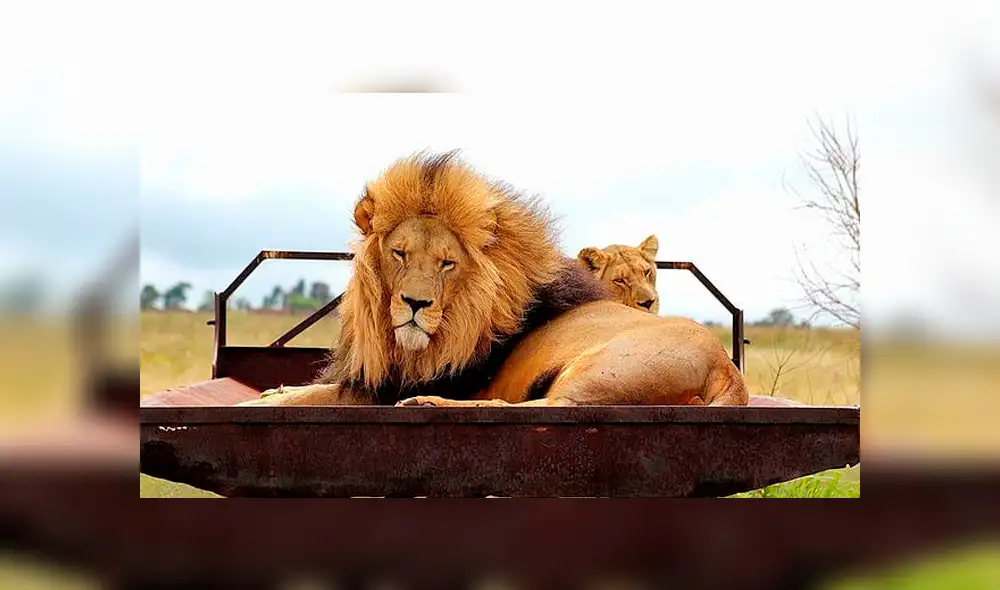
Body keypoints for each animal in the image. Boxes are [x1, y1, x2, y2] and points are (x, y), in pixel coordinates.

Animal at [239, 151, 748, 408]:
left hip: (602, 366)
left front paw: (258, 402)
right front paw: (273, 389)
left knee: (538, 409)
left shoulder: (406, 387)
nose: (415, 305)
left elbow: (318, 395)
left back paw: (429, 405)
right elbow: (304, 390)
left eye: (447, 263)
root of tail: (728, 370)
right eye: (400, 254)